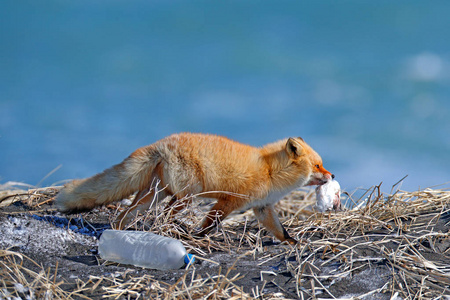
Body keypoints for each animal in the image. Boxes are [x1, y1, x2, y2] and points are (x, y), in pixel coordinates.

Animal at [56, 133, 332, 244]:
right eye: (318, 165)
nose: (333, 175)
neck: (270, 171)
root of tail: (161, 143)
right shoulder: (228, 202)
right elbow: (210, 223)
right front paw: (199, 237)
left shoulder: (262, 208)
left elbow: (280, 231)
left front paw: (293, 243)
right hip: (186, 196)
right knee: (165, 214)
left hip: (154, 195)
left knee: (126, 213)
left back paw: (119, 230)